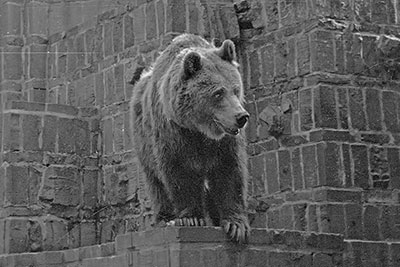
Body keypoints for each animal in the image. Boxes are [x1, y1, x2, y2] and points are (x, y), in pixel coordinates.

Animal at [131, 33, 250, 243]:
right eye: (218, 92)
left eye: (236, 88)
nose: (241, 117)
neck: (199, 130)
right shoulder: (173, 134)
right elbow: (178, 172)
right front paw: (191, 218)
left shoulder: (225, 143)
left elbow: (230, 171)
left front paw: (236, 225)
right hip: (142, 143)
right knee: (155, 182)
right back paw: (165, 218)